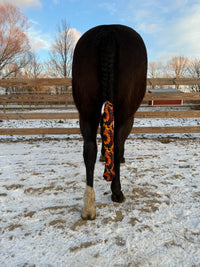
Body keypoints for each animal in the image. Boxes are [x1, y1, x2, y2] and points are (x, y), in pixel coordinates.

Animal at [72, 24, 147, 220]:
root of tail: (108, 30)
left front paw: (104, 157)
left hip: (86, 112)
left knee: (89, 150)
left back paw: (88, 206)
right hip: (124, 115)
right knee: (118, 144)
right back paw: (117, 192)